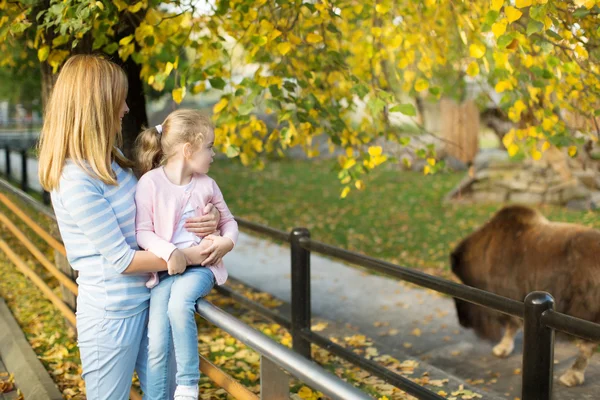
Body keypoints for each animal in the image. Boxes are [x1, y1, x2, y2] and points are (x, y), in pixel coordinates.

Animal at [450, 205, 600, 386]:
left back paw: (571, 376)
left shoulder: (508, 295)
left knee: (587, 346)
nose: (462, 322)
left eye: (459, 292)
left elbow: (511, 324)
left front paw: (501, 348)